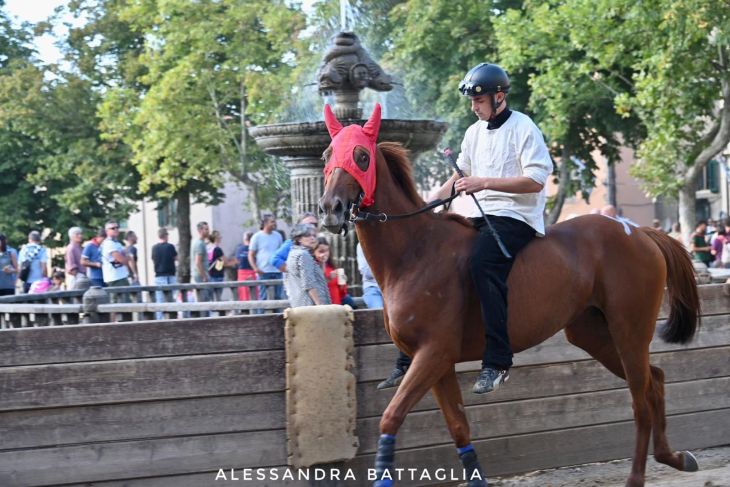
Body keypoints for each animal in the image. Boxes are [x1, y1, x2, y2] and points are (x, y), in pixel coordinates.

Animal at [318, 104, 700, 487]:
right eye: (326, 154)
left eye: (362, 156)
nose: (330, 208)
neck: (415, 252)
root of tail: (639, 231)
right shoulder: (437, 363)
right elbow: (458, 426)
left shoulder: (433, 354)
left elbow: (392, 416)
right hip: (593, 334)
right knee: (655, 380)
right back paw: (674, 456)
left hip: (629, 330)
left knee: (640, 400)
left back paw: (637, 475)